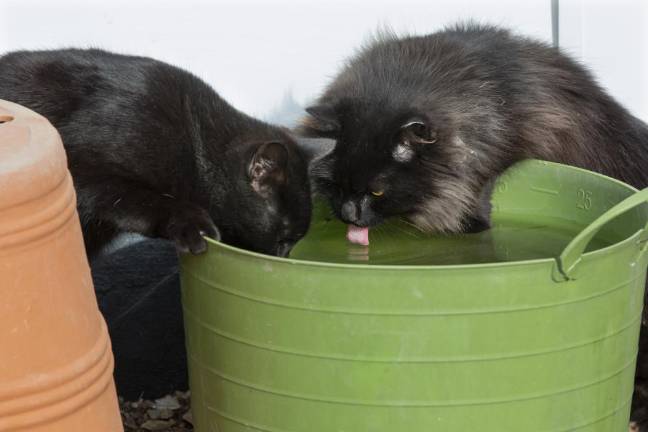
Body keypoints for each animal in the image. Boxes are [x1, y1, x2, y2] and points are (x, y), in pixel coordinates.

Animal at [0, 48, 314, 256]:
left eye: (295, 240)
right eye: (284, 238)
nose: (285, 258)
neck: (193, 139)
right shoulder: (81, 165)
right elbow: (142, 198)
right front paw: (192, 224)